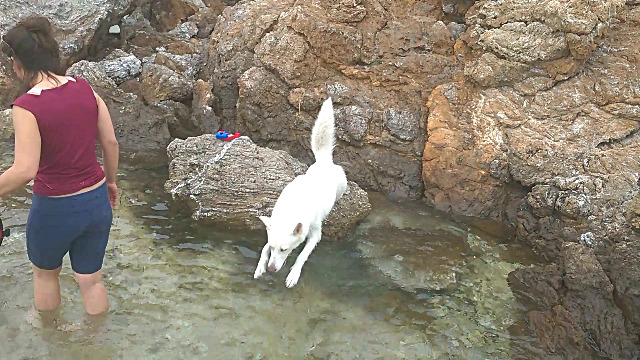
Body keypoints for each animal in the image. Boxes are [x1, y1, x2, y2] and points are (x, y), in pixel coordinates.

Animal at [252, 97, 348, 288]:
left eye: (284, 249)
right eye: (274, 248)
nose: (271, 270)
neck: (293, 208)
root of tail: (323, 160)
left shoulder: (315, 235)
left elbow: (302, 255)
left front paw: (293, 275)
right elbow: (263, 249)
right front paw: (260, 267)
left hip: (342, 185)